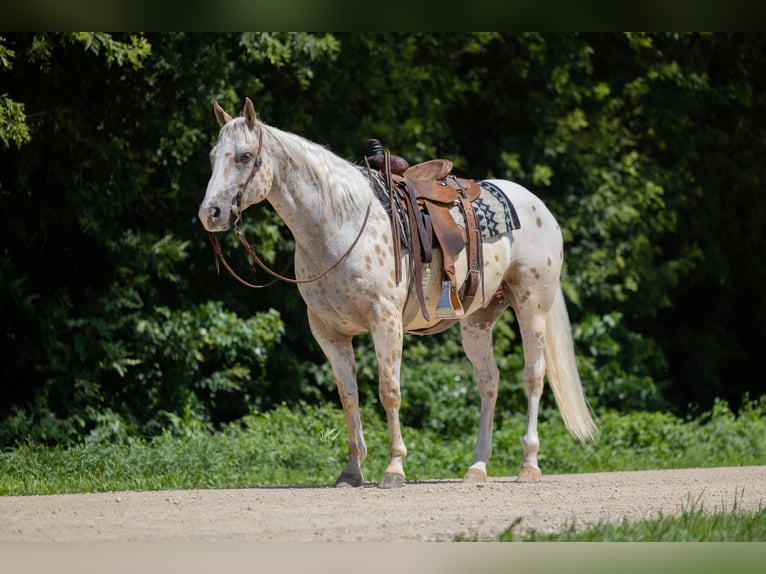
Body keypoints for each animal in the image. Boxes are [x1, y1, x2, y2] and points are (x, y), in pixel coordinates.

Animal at [198, 98, 597, 489]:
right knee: (489, 381)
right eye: (214, 155)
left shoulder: (385, 321)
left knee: (534, 375)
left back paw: (529, 465)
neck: (338, 225)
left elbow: (389, 390)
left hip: (533, 307)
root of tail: (539, 207)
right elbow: (349, 396)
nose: (210, 213)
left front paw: (394, 468)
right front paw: (351, 472)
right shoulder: (328, 332)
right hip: (477, 321)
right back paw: (477, 467)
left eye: (245, 156)